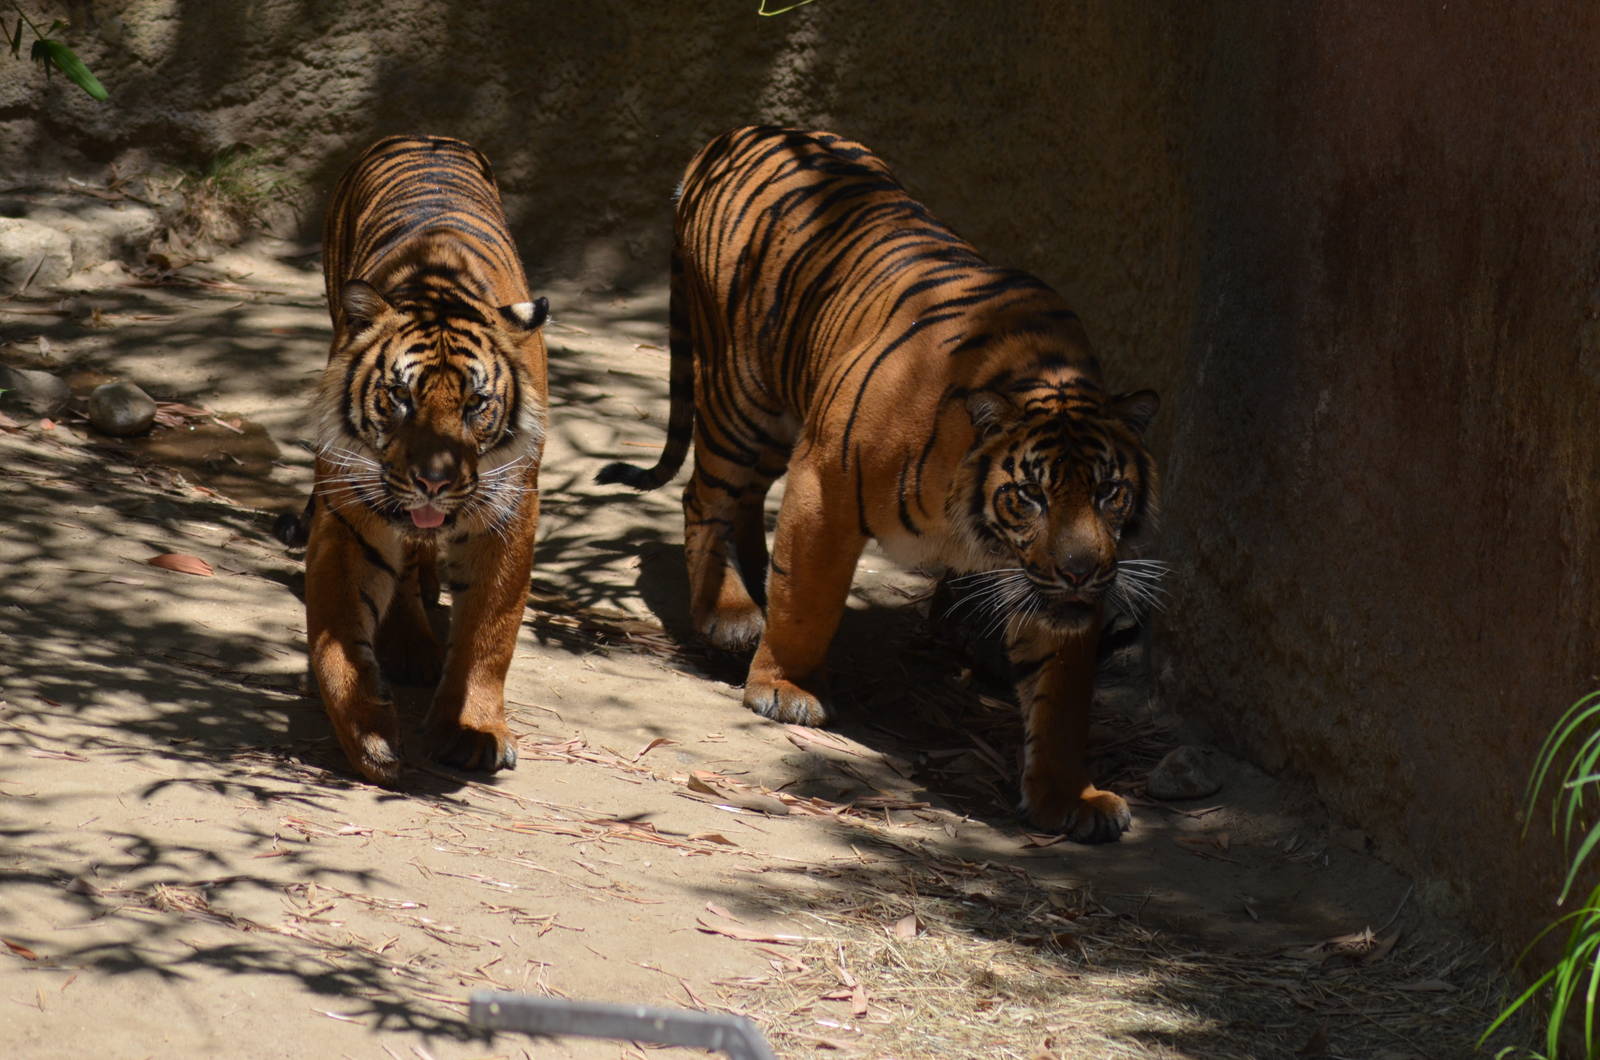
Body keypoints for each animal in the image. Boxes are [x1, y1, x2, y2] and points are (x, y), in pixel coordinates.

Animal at [303, 134, 549, 786]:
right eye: (400, 396)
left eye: (475, 403)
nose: (433, 483)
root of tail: (424, 135)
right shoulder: (349, 514)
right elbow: (336, 638)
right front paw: (367, 733)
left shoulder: (509, 513)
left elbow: (490, 633)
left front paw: (471, 729)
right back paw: (409, 646)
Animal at [598, 126, 1161, 843]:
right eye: (1029, 496)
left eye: (1110, 494)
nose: (1082, 571)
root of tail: (737, 133)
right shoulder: (826, 481)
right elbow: (808, 602)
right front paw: (785, 689)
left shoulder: (1051, 590)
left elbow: (1061, 698)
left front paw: (1070, 798)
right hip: (740, 397)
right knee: (705, 497)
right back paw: (730, 613)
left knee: (741, 500)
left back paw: (752, 584)